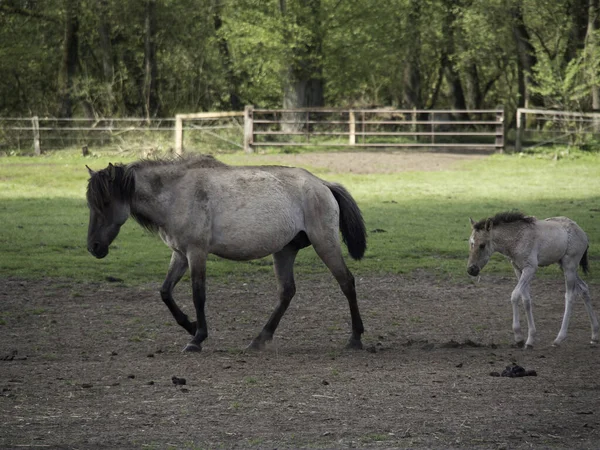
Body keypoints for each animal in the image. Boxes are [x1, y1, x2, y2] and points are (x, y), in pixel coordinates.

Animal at [84, 154, 366, 352]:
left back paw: (355, 338)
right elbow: (165, 292)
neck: (176, 194)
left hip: (325, 243)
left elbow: (198, 295)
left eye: (105, 202)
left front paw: (197, 338)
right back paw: (259, 340)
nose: (93, 247)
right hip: (285, 251)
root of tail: (322, 184)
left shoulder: (196, 252)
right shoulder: (180, 254)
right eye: (91, 204)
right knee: (287, 292)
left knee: (346, 282)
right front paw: (191, 326)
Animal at [468, 211, 600, 348]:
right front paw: (530, 339)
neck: (517, 238)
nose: (471, 270)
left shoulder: (530, 268)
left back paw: (559, 338)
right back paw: (594, 335)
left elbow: (515, 295)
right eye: (470, 243)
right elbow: (526, 300)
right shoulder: (518, 269)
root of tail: (583, 233)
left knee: (570, 295)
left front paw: (519, 337)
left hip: (570, 265)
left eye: (482, 245)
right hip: (564, 265)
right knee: (584, 288)